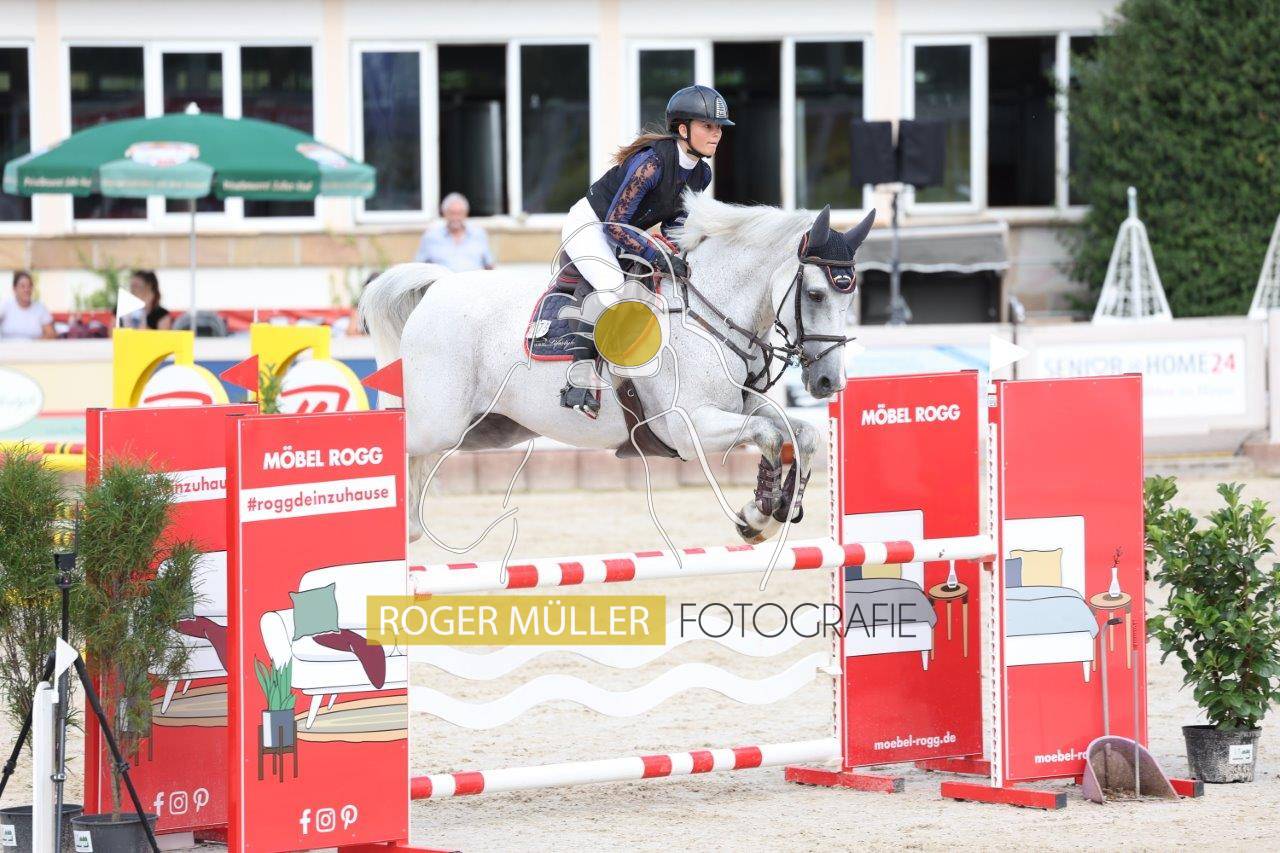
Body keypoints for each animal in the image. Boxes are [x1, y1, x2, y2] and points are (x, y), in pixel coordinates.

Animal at [360, 191, 875, 549]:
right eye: (816, 294)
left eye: (850, 296)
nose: (828, 382)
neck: (709, 312)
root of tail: (437, 287)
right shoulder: (689, 429)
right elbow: (769, 436)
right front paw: (758, 514)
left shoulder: (741, 407)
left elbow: (802, 435)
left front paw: (776, 506)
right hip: (439, 422)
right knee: (403, 443)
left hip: (487, 429)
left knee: (421, 465)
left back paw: (407, 530)